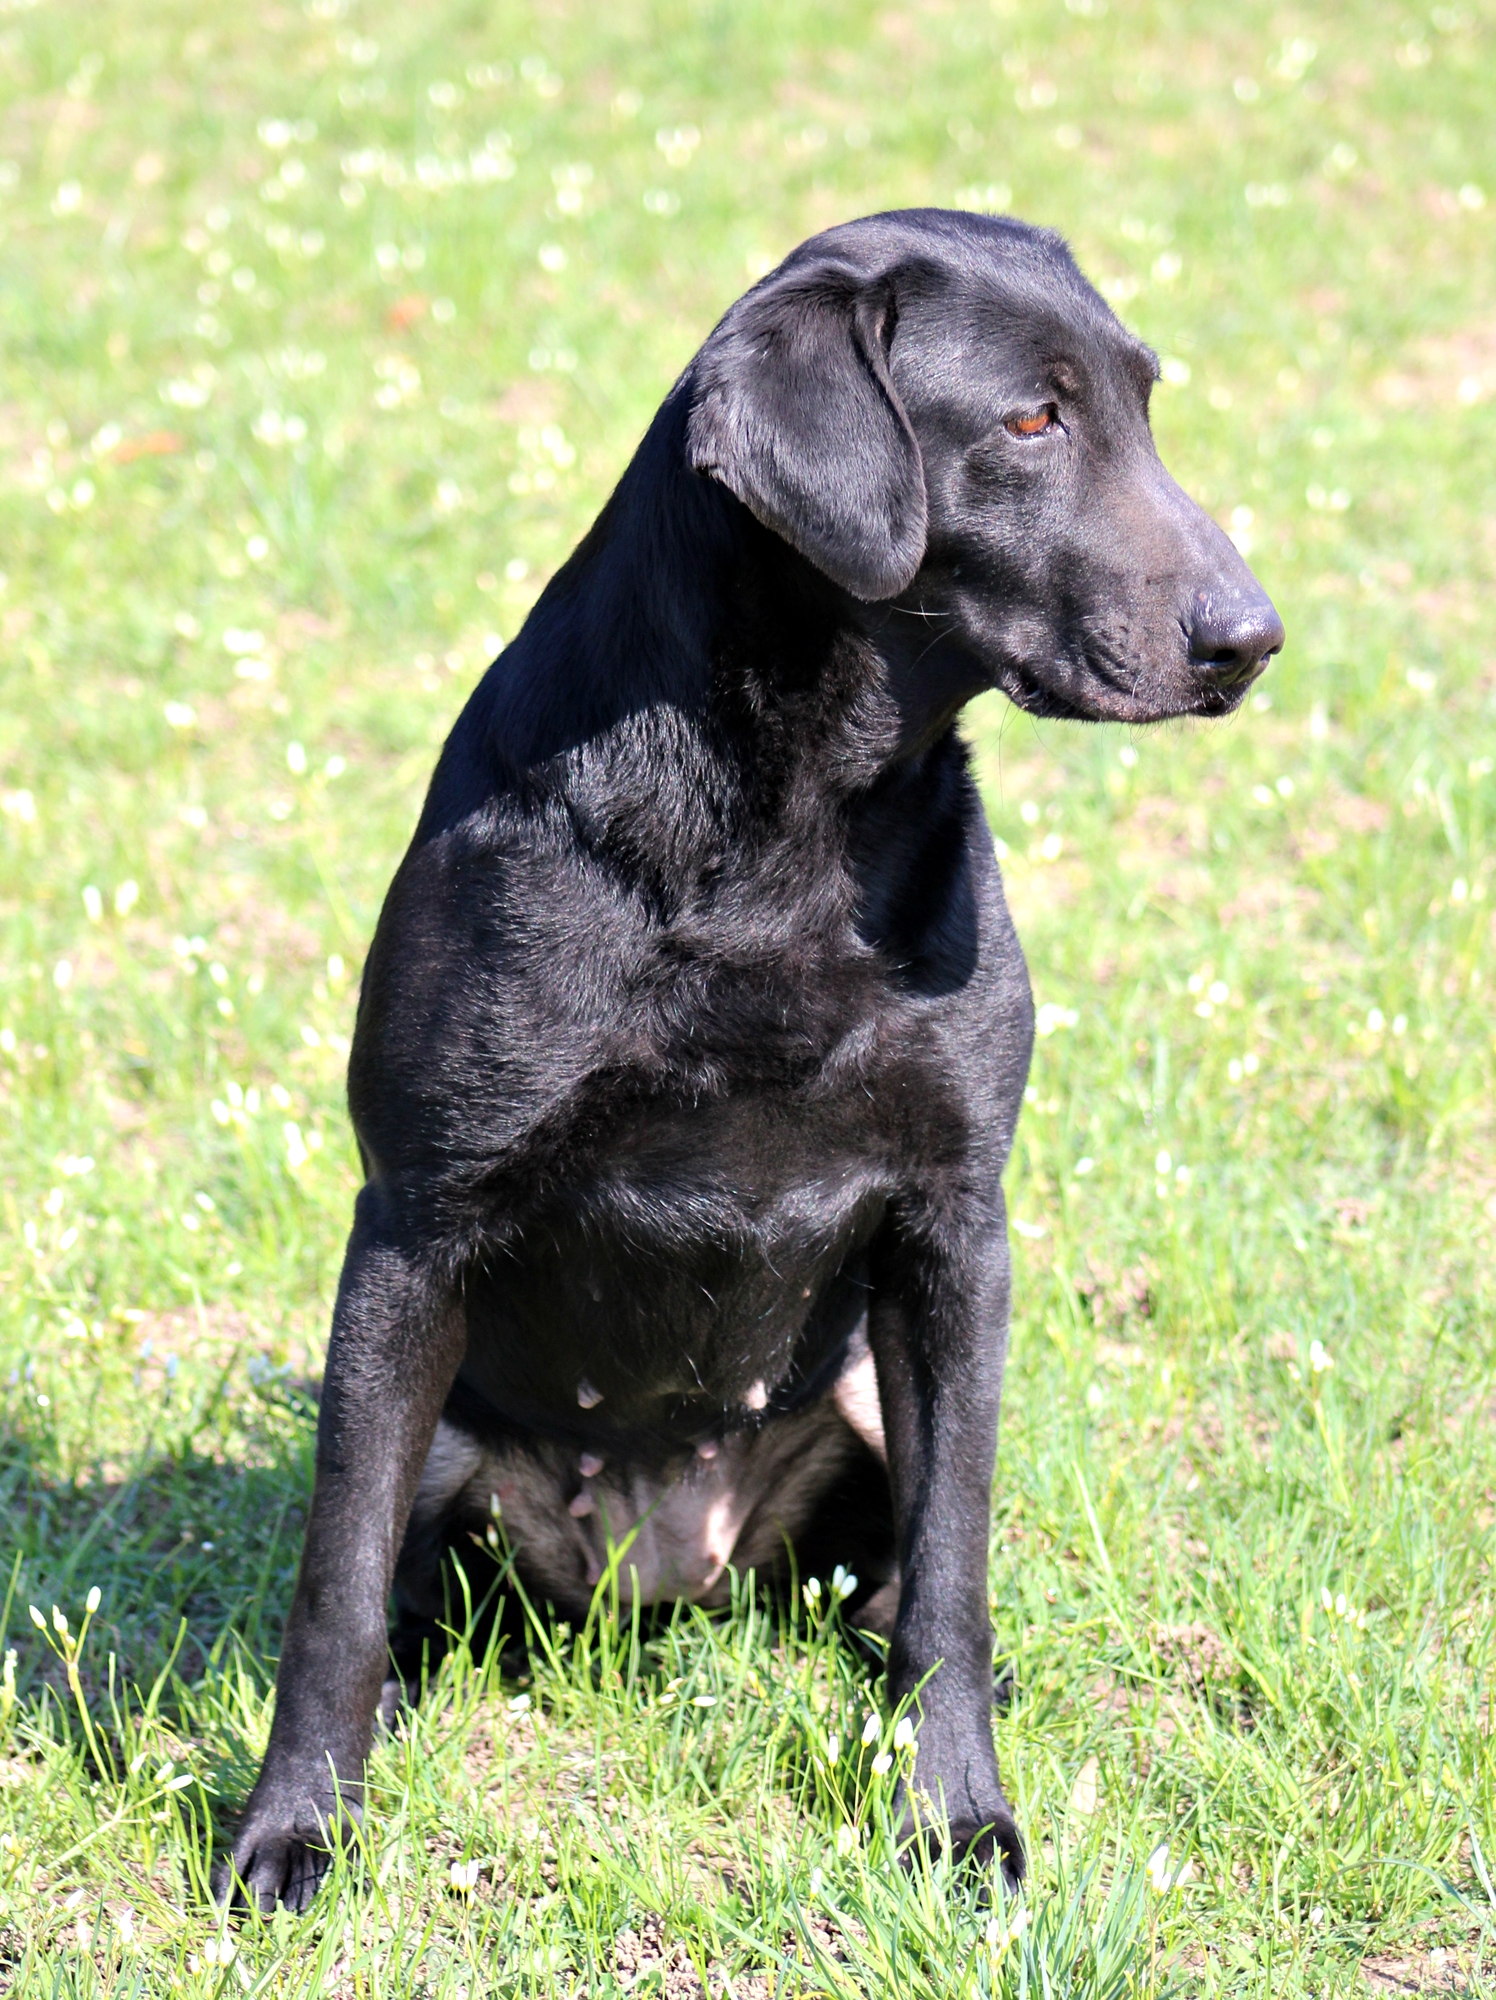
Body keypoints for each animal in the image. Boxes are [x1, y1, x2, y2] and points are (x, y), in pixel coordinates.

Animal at [219, 207, 1272, 1904]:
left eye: (1143, 406)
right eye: (1030, 422)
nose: (1253, 641)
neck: (788, 821)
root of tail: (660, 1573)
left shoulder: (953, 1226)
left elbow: (956, 1578)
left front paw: (954, 1816)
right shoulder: (412, 1230)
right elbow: (331, 1595)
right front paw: (290, 1831)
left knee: (899, 1587)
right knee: (400, 1602)